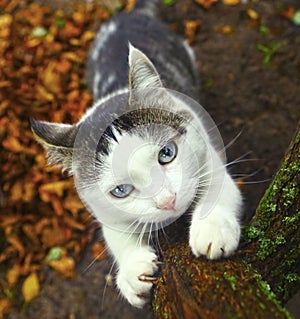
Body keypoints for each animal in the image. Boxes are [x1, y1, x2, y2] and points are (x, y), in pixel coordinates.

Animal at [31, 0, 241, 310]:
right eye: (121, 190)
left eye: (167, 153)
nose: (167, 201)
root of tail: (130, 13)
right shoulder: (102, 208)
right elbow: (115, 234)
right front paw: (132, 271)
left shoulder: (208, 153)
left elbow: (220, 186)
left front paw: (212, 229)